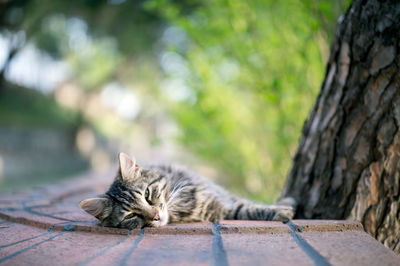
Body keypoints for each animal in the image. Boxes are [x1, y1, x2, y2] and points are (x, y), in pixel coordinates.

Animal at [79, 153, 296, 230]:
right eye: (131, 216)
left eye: (147, 194)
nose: (155, 216)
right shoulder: (222, 210)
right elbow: (249, 210)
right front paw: (283, 212)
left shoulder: (222, 196)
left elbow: (249, 203)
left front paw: (286, 203)